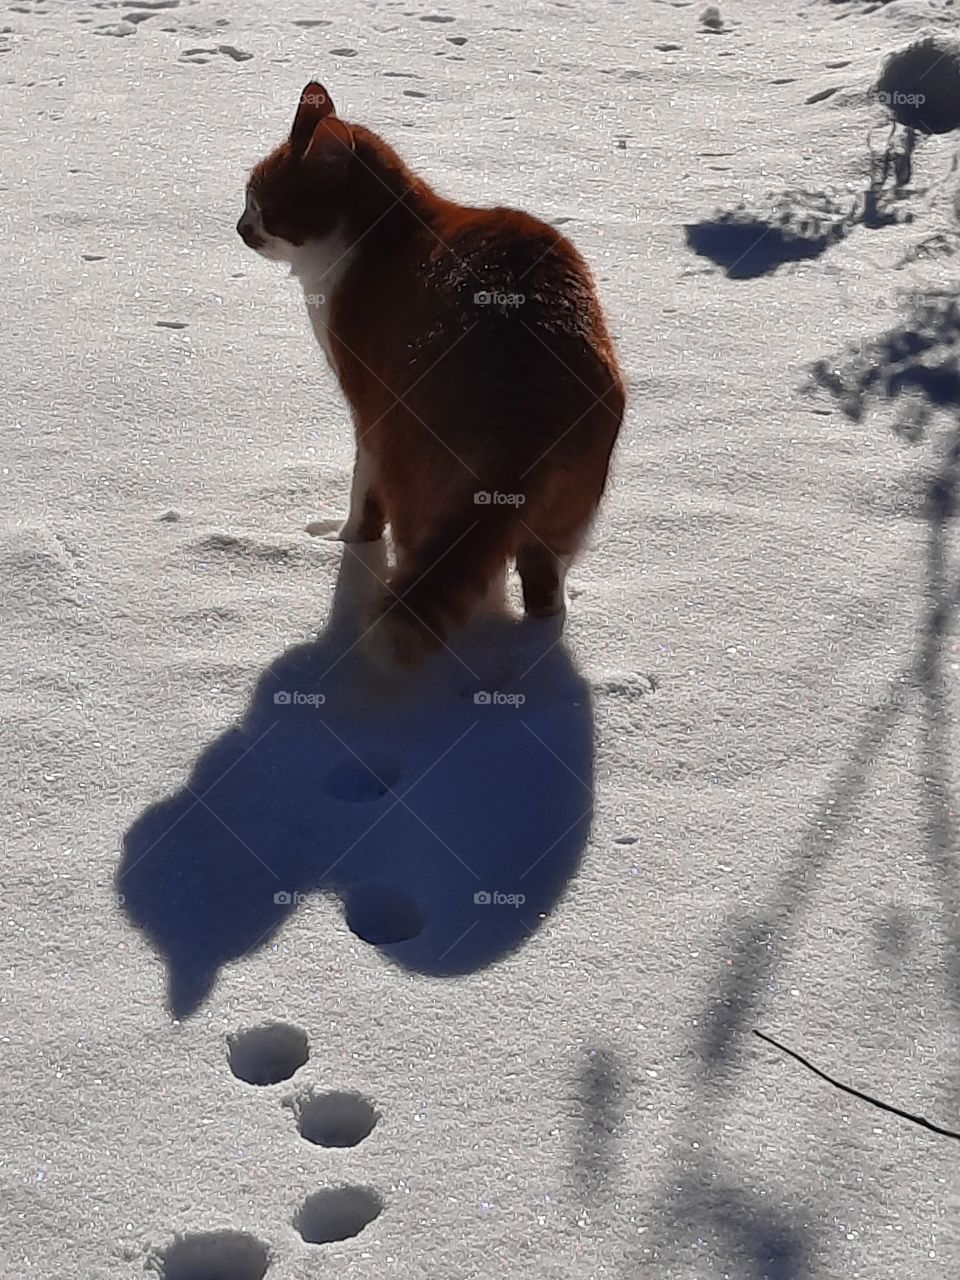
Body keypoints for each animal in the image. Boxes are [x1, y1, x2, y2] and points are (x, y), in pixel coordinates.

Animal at [239, 81, 627, 670]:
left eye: (259, 201)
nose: (240, 228)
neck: (386, 228)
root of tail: (523, 400)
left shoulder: (366, 407)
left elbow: (363, 496)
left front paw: (346, 542)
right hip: (565, 512)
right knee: (541, 587)